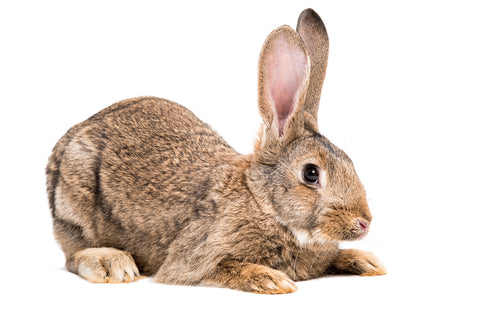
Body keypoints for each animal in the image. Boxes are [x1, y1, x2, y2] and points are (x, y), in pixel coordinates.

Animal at [46, 8, 386, 294]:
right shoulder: (195, 258)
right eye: (311, 174)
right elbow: (223, 268)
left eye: (350, 161)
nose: (364, 223)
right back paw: (113, 264)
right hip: (75, 202)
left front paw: (366, 261)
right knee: (73, 254)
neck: (263, 204)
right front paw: (272, 279)